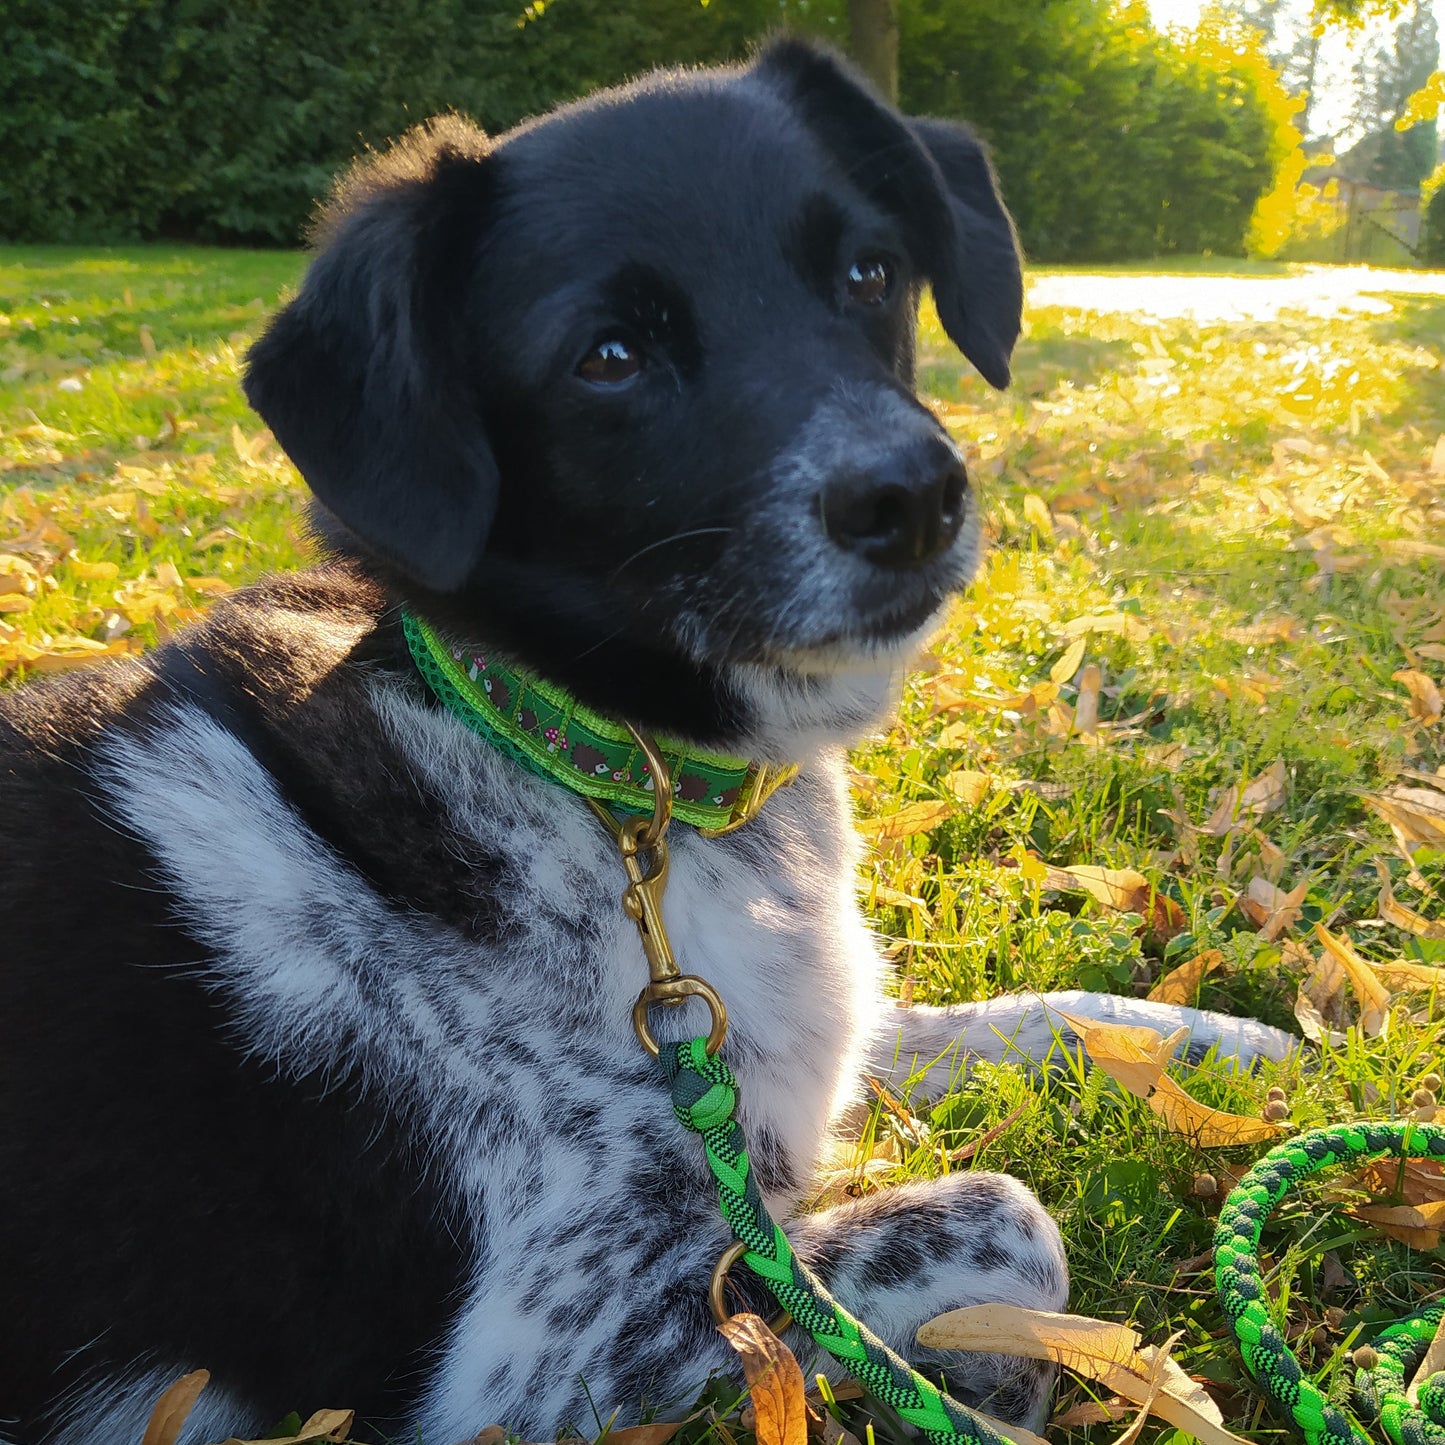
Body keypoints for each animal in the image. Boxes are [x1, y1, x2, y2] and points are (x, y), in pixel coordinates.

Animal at [0, 39, 1294, 1445]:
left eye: (868, 271)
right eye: (608, 356)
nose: (912, 496)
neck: (598, 769)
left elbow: (1021, 1013)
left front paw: (1222, 1046)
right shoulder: (540, 1360)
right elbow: (1009, 1217)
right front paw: (1005, 1377)